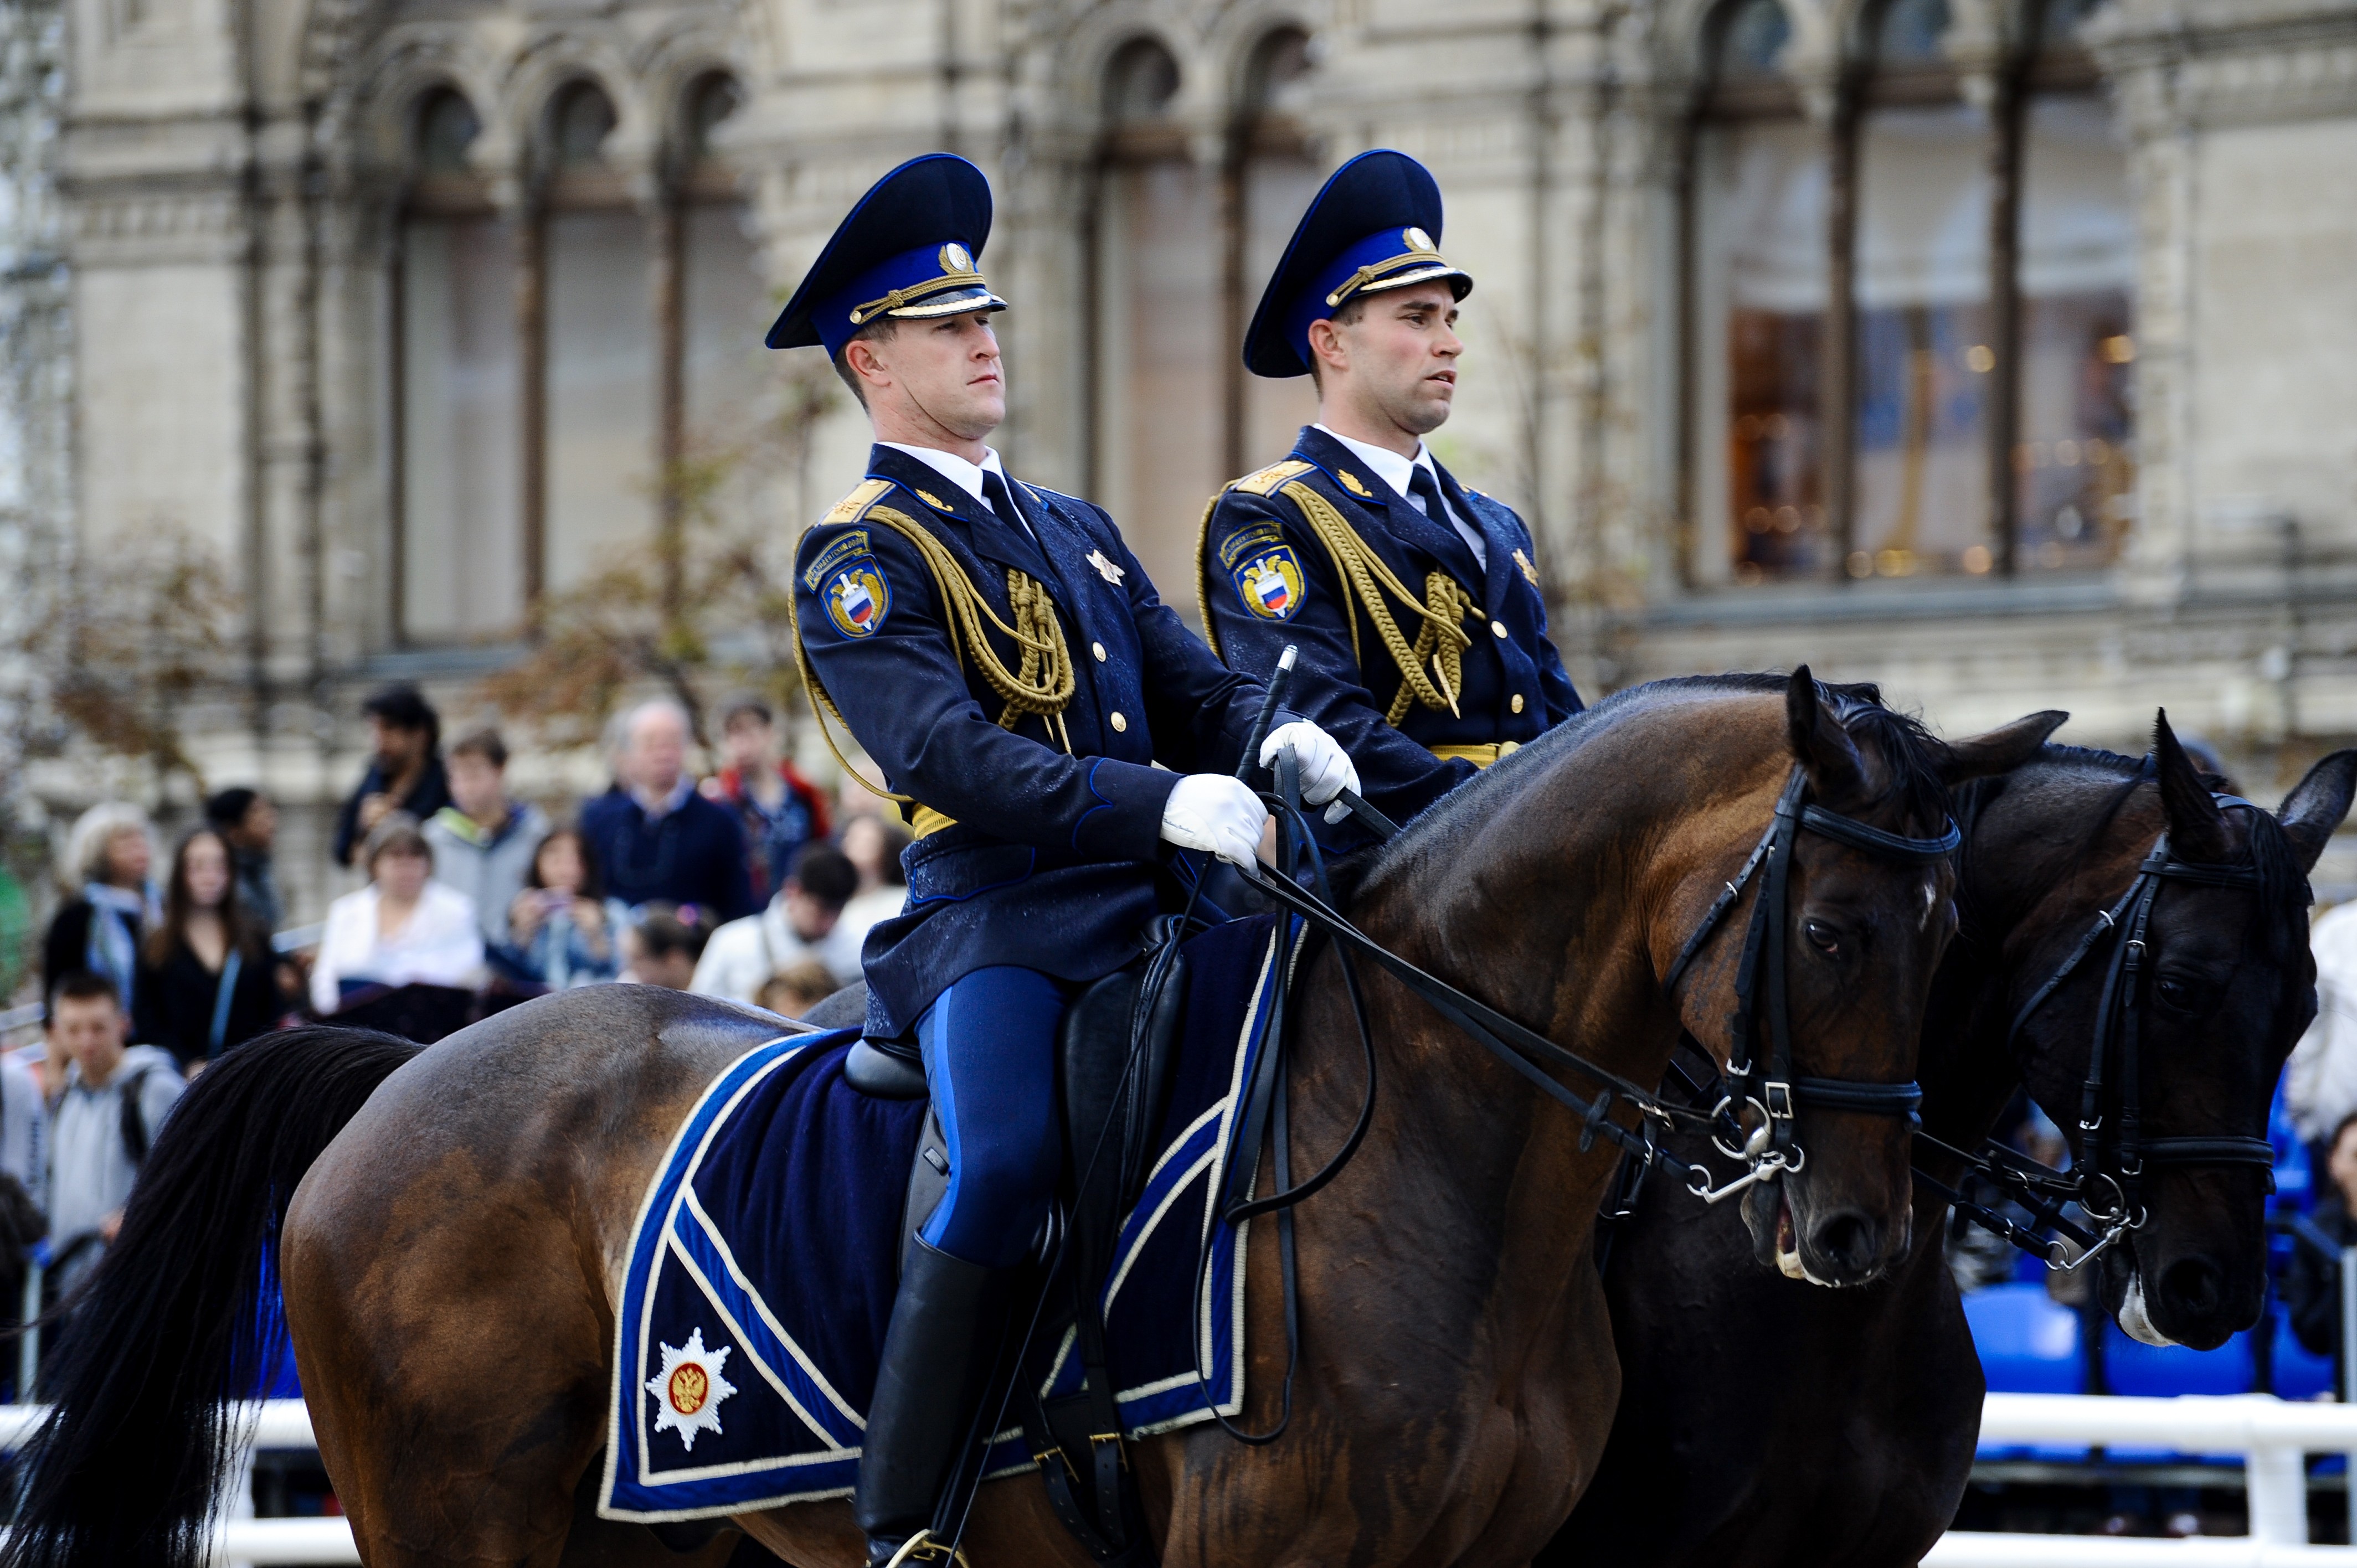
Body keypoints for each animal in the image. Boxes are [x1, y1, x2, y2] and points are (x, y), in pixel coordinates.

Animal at [9, 674, 2046, 1565]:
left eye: (1963, 931)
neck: (1444, 1147)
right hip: (464, 1534)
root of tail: (400, 1067)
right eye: (1837, 927)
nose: (1853, 1232)